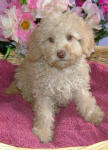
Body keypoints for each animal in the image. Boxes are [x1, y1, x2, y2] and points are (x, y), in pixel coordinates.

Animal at [11, 11, 104, 142]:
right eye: (50, 39)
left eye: (70, 37)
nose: (60, 53)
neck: (62, 70)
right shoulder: (44, 92)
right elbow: (44, 113)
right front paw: (43, 132)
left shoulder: (79, 86)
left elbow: (86, 101)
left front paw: (94, 115)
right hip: (23, 82)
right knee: (29, 98)